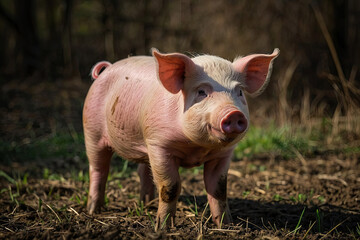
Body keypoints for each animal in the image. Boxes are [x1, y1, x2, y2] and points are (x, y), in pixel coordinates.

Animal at [83, 47, 280, 230]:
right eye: (202, 92)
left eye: (239, 92)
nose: (233, 113)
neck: (196, 147)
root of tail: (108, 68)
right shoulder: (160, 145)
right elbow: (170, 187)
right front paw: (163, 227)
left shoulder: (222, 155)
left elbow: (219, 189)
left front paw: (226, 225)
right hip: (91, 131)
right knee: (98, 169)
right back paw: (93, 210)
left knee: (143, 171)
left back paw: (146, 204)